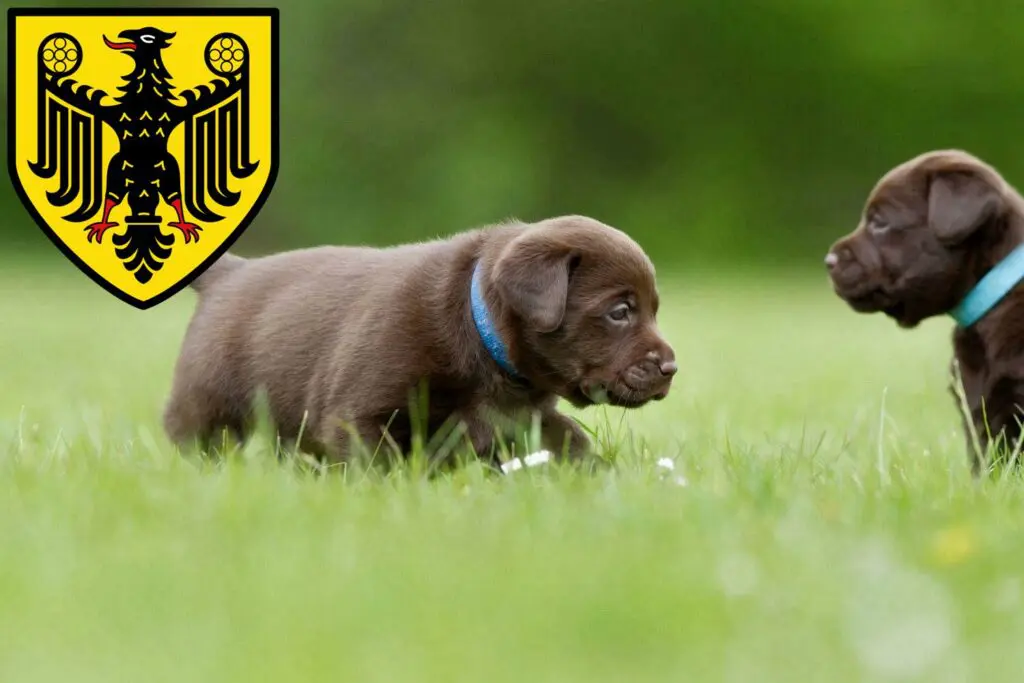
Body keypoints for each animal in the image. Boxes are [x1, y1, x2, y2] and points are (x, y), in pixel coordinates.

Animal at [163, 216, 675, 466]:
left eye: (654, 309)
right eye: (620, 312)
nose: (671, 368)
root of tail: (230, 273)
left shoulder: (523, 414)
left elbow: (566, 439)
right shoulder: (357, 415)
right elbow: (378, 466)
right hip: (207, 404)